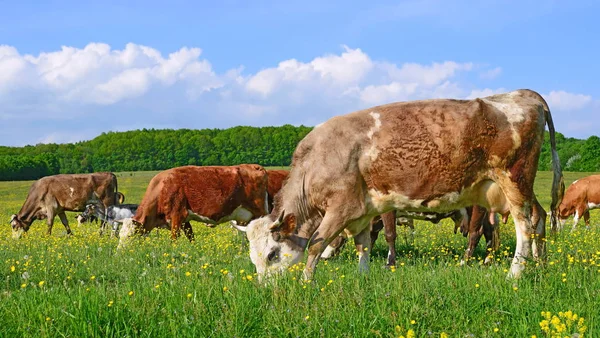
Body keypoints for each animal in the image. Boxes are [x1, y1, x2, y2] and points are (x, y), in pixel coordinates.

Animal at [119, 164, 270, 246]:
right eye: (119, 236)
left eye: (130, 236)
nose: (120, 253)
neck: (162, 188)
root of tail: (256, 167)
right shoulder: (185, 220)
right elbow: (191, 237)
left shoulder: (177, 215)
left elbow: (174, 239)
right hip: (244, 217)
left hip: (260, 212)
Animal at [238, 89, 564, 280]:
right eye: (253, 257)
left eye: (272, 254)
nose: (265, 287)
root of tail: (521, 93)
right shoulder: (362, 211)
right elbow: (363, 245)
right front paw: (363, 277)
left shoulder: (340, 209)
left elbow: (317, 245)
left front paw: (307, 282)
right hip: (516, 187)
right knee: (538, 218)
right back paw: (541, 264)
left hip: (514, 180)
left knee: (524, 227)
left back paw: (515, 273)